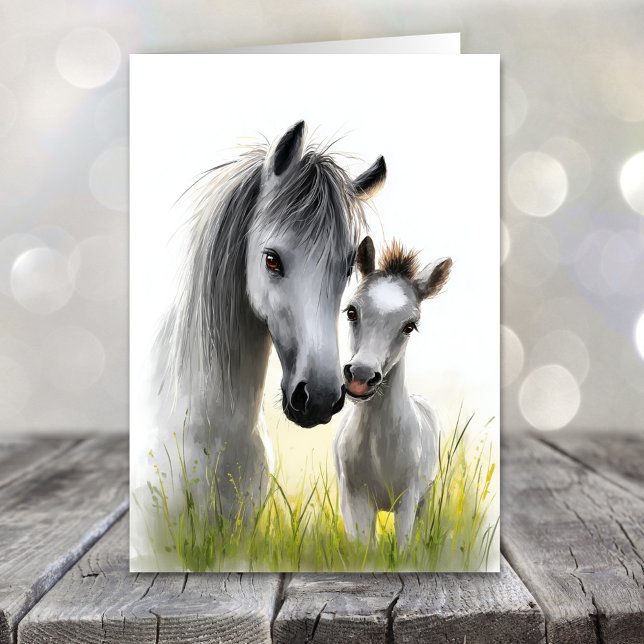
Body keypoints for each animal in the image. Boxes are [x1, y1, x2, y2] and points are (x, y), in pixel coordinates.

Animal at [333, 236, 452, 548]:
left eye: (409, 326)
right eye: (351, 311)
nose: (361, 377)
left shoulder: (408, 501)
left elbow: (403, 547)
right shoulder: (354, 500)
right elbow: (363, 548)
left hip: (426, 497)